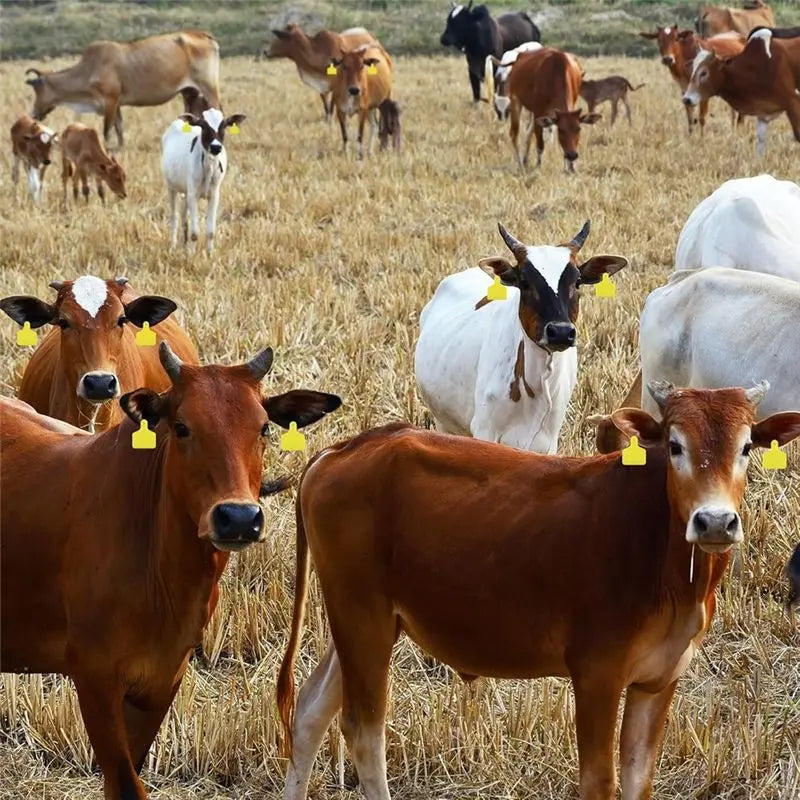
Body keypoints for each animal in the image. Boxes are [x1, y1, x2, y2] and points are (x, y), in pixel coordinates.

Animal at [0, 343, 341, 800]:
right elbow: (126, 784)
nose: (237, 518)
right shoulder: (93, 675)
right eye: (181, 427)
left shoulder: (162, 678)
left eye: (264, 429)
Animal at [25, 31, 221, 149]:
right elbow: (119, 130)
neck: (88, 69)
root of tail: (205, 35)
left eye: (37, 89)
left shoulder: (110, 102)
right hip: (189, 92)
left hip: (209, 87)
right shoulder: (117, 104)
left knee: (217, 111)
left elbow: (107, 131)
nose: (33, 114)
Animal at [161, 108, 246, 252]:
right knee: (175, 217)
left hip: (186, 192)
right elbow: (195, 232)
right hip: (171, 187)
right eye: (203, 126)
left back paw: (184, 244)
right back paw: (173, 246)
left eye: (224, 125)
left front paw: (209, 253)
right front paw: (191, 254)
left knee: (183, 215)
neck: (208, 167)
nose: (216, 147)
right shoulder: (193, 195)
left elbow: (210, 231)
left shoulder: (214, 195)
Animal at [277, 382, 800, 800]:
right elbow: (599, 782)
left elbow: (637, 779)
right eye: (675, 445)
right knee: (364, 733)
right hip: (362, 616)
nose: (714, 521)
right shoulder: (596, 674)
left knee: (309, 712)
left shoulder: (659, 679)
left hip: (366, 621)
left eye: (747, 446)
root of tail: (342, 449)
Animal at [414, 222, 627, 453]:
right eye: (524, 281)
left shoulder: (548, 443)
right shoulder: (485, 430)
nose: (560, 332)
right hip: (444, 423)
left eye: (578, 281)